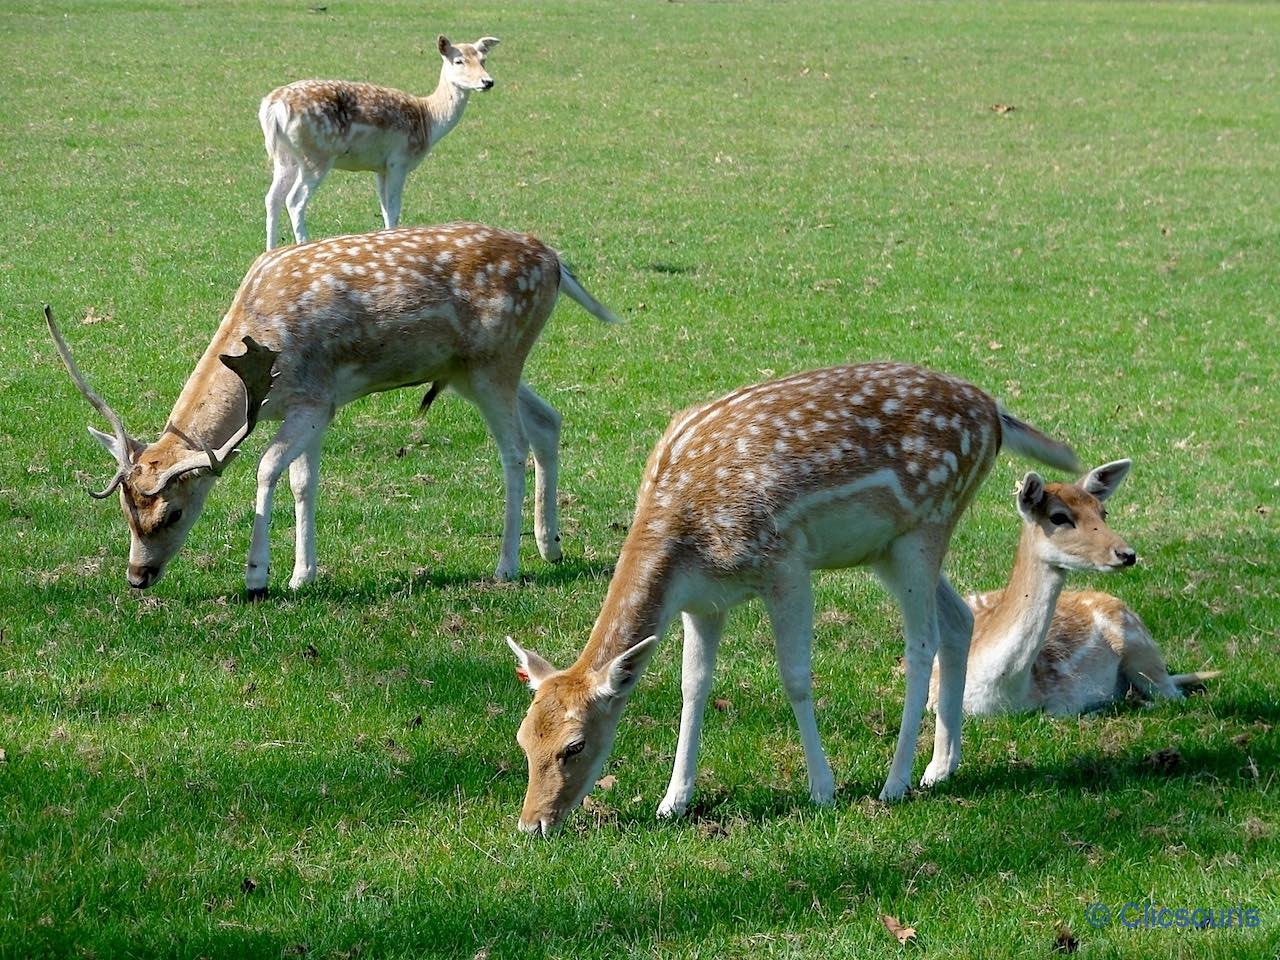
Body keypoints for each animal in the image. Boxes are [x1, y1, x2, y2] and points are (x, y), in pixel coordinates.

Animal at [52, 222, 622, 599]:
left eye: (172, 513)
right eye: (125, 511)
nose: (137, 576)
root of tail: (555, 262)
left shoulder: (314, 398)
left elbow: (266, 470)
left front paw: (258, 576)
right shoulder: (315, 408)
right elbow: (305, 481)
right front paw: (303, 574)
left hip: (494, 362)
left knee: (514, 448)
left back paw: (508, 565)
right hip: (471, 370)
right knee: (548, 421)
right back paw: (551, 547)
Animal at [259, 35, 499, 249]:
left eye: (483, 59)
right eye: (458, 60)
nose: (488, 82)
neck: (429, 120)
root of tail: (273, 107)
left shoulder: (380, 167)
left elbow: (384, 208)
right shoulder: (399, 160)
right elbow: (394, 208)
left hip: (285, 156)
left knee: (272, 197)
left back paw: (270, 251)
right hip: (316, 154)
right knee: (294, 200)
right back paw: (302, 245)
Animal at [504, 360, 1085, 834]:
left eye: (575, 745)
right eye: (523, 737)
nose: (532, 824)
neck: (687, 545)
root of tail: (994, 412)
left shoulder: (785, 563)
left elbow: (796, 678)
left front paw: (823, 789)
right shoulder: (704, 601)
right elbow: (693, 686)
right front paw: (673, 801)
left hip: (927, 524)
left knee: (921, 644)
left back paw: (896, 781)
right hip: (887, 548)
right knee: (961, 618)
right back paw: (940, 768)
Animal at [931, 463, 1218, 716]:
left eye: (1103, 512)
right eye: (1058, 516)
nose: (1127, 554)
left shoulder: (1064, 696)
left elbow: (1054, 713)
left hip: (1142, 650)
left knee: (1173, 696)